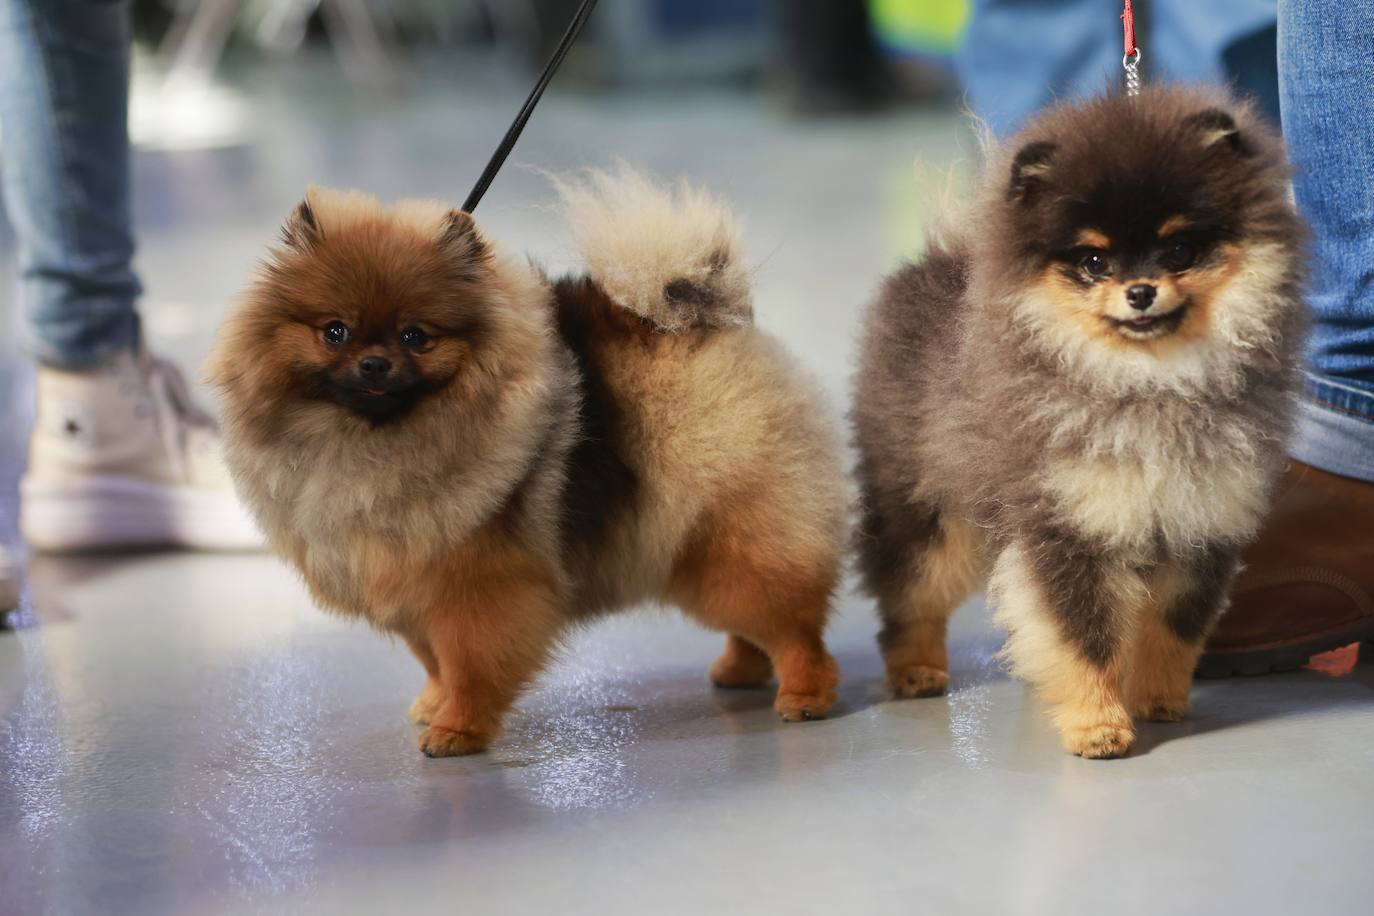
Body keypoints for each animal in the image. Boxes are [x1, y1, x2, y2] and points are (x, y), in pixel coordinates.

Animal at [210, 171, 846, 758]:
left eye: (416, 336)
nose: (373, 364)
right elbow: (434, 661)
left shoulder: (478, 587)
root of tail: (706, 322)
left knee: (791, 625)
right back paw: (741, 670)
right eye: (334, 332)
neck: (376, 440)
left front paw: (457, 730)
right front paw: (435, 704)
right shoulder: (413, 589)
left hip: (731, 538)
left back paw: (805, 694)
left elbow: (468, 664)